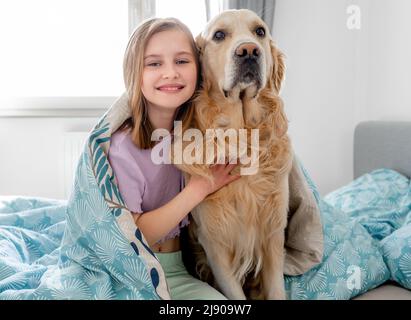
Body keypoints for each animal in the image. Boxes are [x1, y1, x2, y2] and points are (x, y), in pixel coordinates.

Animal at [177, 10, 292, 300]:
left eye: (260, 31)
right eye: (219, 35)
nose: (248, 51)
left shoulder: (273, 235)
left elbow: (276, 290)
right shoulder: (215, 246)